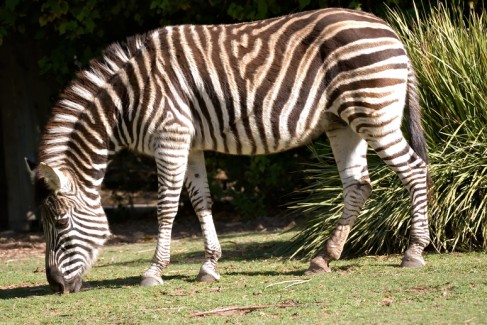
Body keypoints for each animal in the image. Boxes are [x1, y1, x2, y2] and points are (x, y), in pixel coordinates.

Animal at [26, 7, 430, 292]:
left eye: (59, 223)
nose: (56, 286)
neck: (126, 100)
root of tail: (388, 28)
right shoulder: (188, 143)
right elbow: (201, 202)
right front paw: (209, 265)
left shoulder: (170, 136)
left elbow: (167, 207)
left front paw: (154, 271)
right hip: (342, 123)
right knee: (358, 185)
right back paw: (322, 258)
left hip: (373, 113)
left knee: (414, 169)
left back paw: (414, 251)